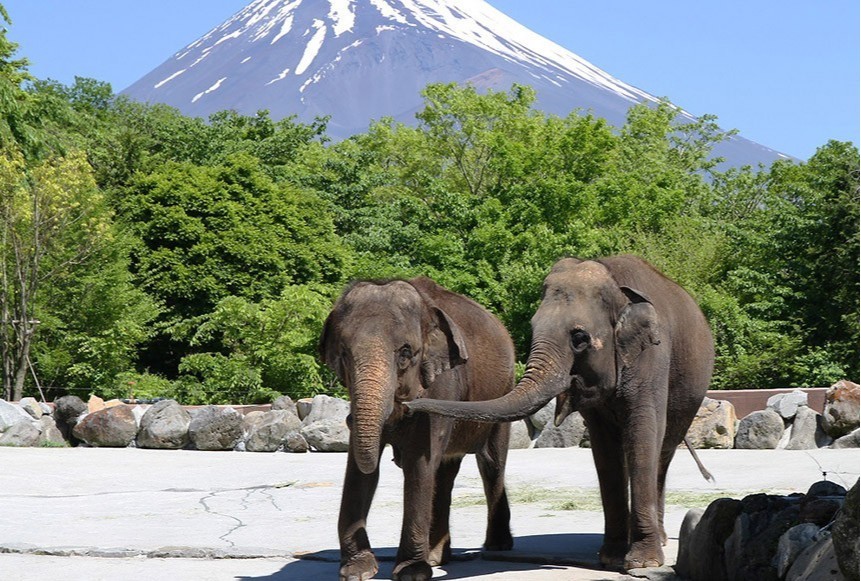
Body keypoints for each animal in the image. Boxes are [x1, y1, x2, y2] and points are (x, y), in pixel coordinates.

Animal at [320, 278, 512, 580]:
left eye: (406, 353)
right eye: (343, 354)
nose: (348, 419)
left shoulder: (441, 387)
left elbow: (418, 465)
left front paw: (411, 573)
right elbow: (360, 470)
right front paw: (357, 571)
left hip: (503, 395)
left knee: (491, 464)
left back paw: (496, 546)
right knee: (445, 473)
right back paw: (437, 556)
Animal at [406, 256, 716, 568]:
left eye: (579, 338)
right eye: (533, 328)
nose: (408, 405)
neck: (615, 284)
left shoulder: (651, 356)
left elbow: (642, 434)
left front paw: (641, 564)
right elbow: (605, 451)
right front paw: (612, 558)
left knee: (663, 452)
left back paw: (659, 541)